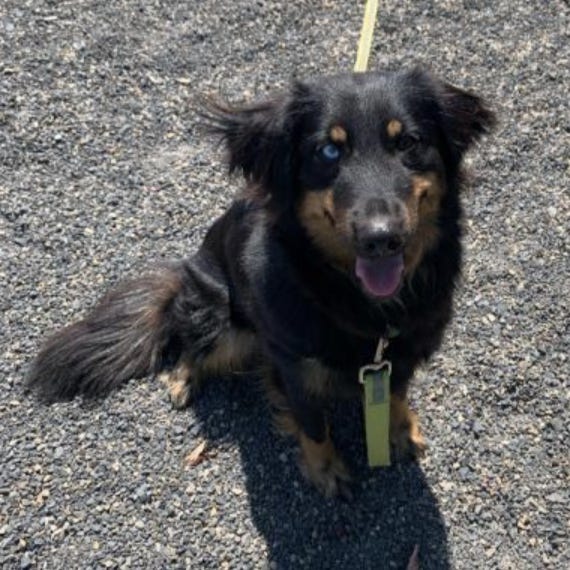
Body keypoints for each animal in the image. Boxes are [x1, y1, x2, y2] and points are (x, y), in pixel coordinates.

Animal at [26, 70, 492, 496]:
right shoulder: (294, 366)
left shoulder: (403, 352)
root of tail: (182, 276)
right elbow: (313, 424)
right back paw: (182, 377)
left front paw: (399, 430)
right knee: (192, 344)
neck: (355, 298)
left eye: (408, 142)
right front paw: (326, 472)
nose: (381, 238)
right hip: (223, 319)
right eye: (328, 149)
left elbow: (395, 394)